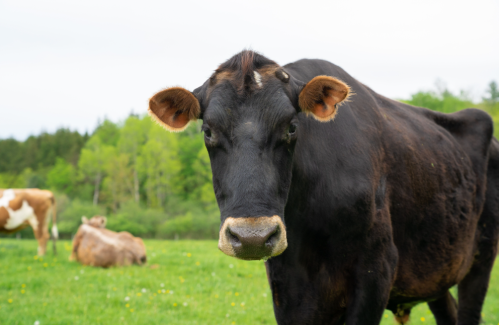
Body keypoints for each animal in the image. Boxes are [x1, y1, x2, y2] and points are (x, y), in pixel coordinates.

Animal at [148, 49, 499, 322]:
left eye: (292, 127)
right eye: (207, 130)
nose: (252, 237)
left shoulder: (377, 269)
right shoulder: (286, 282)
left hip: (481, 257)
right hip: (435, 270)